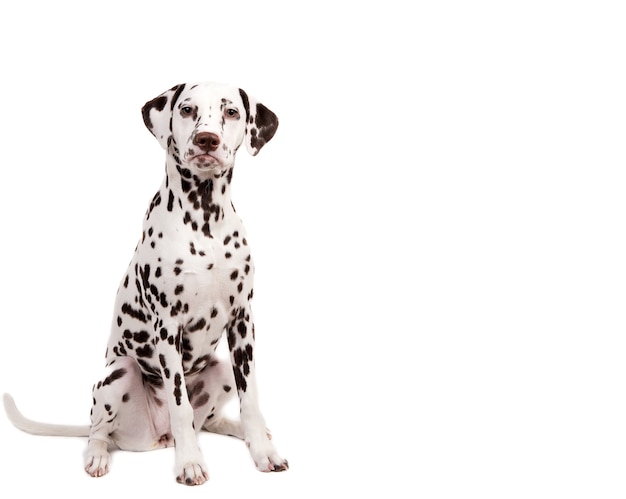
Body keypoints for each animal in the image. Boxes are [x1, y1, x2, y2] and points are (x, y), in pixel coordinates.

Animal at [3, 81, 286, 484]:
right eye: (186, 109)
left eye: (231, 112)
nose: (207, 140)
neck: (205, 223)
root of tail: (158, 435)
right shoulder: (168, 325)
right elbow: (180, 404)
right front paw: (189, 462)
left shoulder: (242, 322)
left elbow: (252, 400)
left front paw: (262, 450)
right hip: (118, 373)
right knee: (99, 431)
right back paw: (98, 456)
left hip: (221, 369)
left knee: (209, 420)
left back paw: (239, 430)